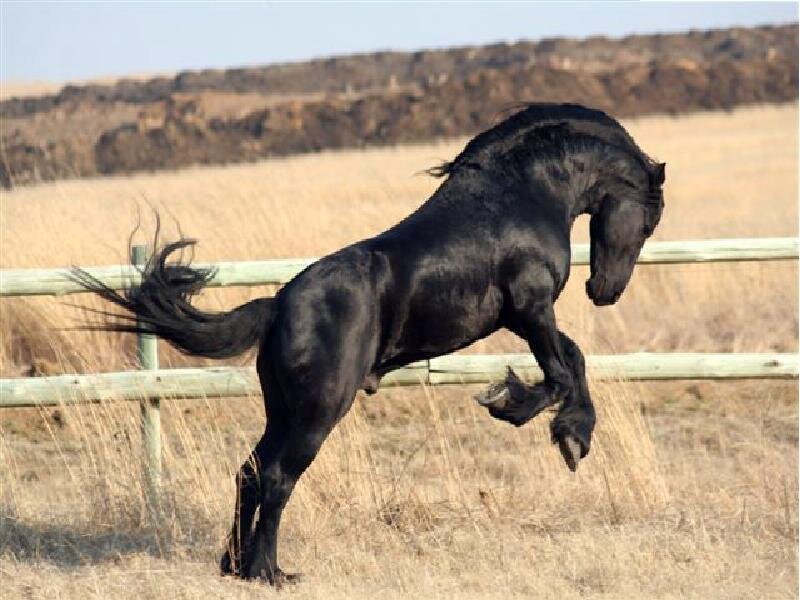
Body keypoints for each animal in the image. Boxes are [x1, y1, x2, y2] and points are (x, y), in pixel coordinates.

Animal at [72, 102, 665, 585]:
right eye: (649, 221)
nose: (605, 291)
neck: (519, 196)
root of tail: (279, 305)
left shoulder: (523, 318)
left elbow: (574, 361)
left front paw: (573, 436)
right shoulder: (530, 308)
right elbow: (559, 375)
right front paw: (514, 405)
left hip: (283, 411)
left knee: (250, 472)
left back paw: (236, 566)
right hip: (320, 410)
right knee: (278, 478)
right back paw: (270, 572)